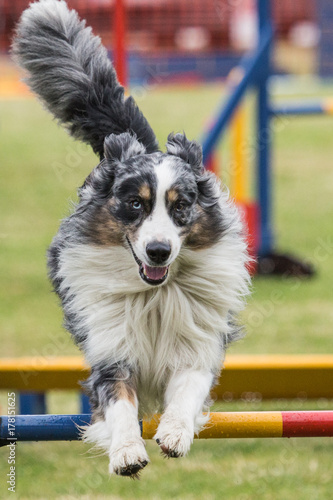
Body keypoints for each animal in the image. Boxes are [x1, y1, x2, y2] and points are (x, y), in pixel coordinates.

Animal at [13, 0, 249, 476]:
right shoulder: (111, 350)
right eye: (135, 204)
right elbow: (120, 403)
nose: (158, 251)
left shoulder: (196, 343)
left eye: (181, 205)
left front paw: (175, 433)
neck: (154, 294)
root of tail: (134, 144)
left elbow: (187, 390)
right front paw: (126, 452)